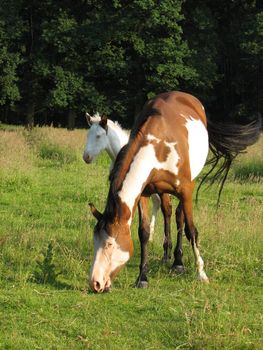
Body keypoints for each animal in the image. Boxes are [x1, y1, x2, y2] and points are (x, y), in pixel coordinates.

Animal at [88, 91, 262, 292]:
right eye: (94, 241)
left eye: (109, 244)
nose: (96, 282)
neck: (158, 147)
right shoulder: (143, 193)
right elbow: (144, 232)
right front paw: (142, 277)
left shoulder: (186, 191)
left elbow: (191, 230)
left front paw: (201, 273)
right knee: (168, 211)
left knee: (179, 217)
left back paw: (178, 262)